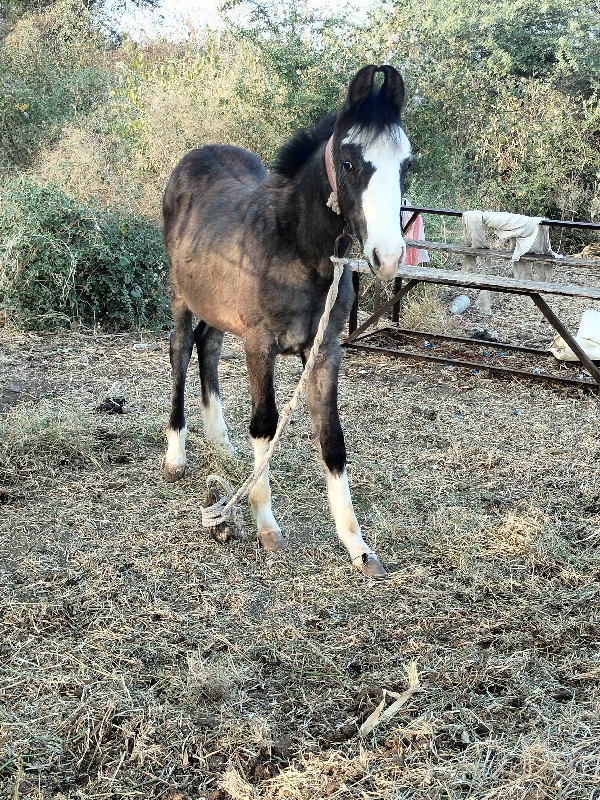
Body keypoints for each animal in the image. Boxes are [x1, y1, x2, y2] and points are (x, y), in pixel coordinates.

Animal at [162, 62, 410, 576]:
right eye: (350, 162)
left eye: (407, 165)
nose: (389, 256)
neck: (298, 249)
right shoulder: (261, 343)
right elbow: (265, 423)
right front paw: (267, 527)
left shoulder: (324, 350)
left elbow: (332, 438)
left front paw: (357, 547)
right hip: (182, 297)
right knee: (180, 350)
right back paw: (176, 453)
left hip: (220, 307)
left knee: (207, 345)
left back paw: (220, 443)